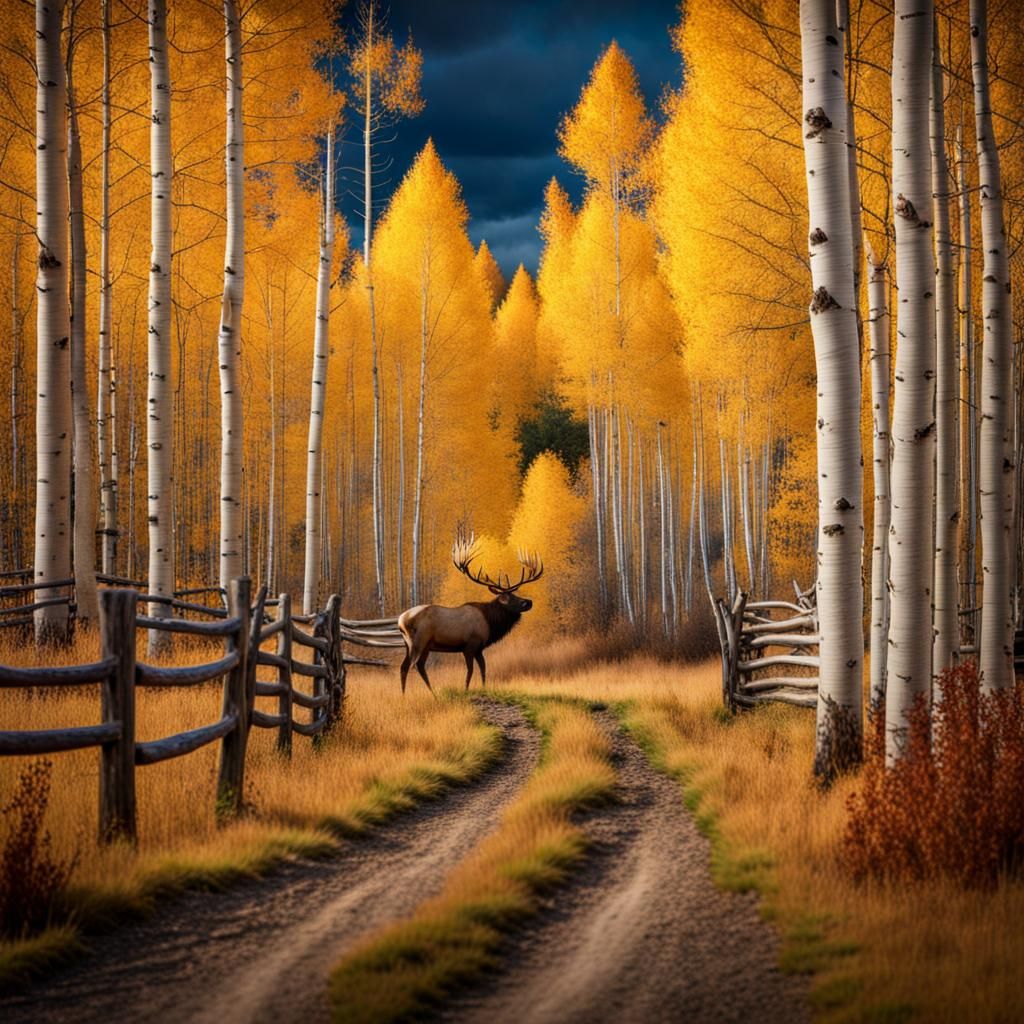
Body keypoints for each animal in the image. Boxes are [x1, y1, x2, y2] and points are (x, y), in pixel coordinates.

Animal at [397, 533, 544, 696]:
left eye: (516, 594)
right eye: (510, 598)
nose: (528, 602)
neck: (490, 623)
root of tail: (401, 620)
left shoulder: (479, 648)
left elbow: (483, 668)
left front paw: (484, 688)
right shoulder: (470, 644)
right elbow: (471, 670)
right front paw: (466, 690)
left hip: (413, 645)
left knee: (408, 666)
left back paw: (416, 695)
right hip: (419, 641)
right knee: (413, 665)